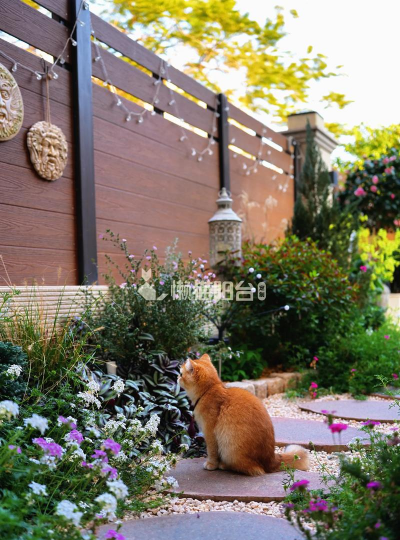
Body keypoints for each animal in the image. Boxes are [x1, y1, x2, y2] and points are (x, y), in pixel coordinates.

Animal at [179, 354, 309, 476]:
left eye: (180, 373)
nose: (177, 377)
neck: (209, 390)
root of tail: (271, 459)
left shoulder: (209, 433)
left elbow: (212, 451)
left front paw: (211, 464)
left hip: (230, 449)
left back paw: (223, 465)